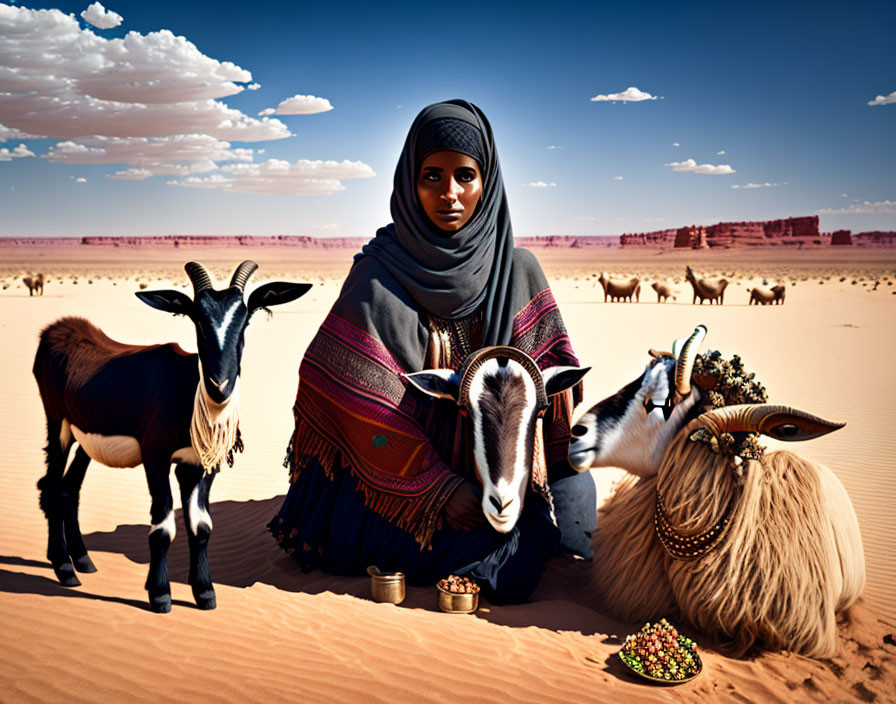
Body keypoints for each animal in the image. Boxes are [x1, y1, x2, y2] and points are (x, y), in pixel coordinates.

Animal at [34, 260, 312, 612]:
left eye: (244, 318)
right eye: (197, 319)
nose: (219, 385)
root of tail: (58, 329)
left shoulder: (199, 465)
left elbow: (201, 525)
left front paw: (205, 592)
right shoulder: (156, 458)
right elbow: (163, 527)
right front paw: (160, 594)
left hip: (85, 442)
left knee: (69, 489)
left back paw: (82, 560)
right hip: (58, 427)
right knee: (51, 487)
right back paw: (64, 569)